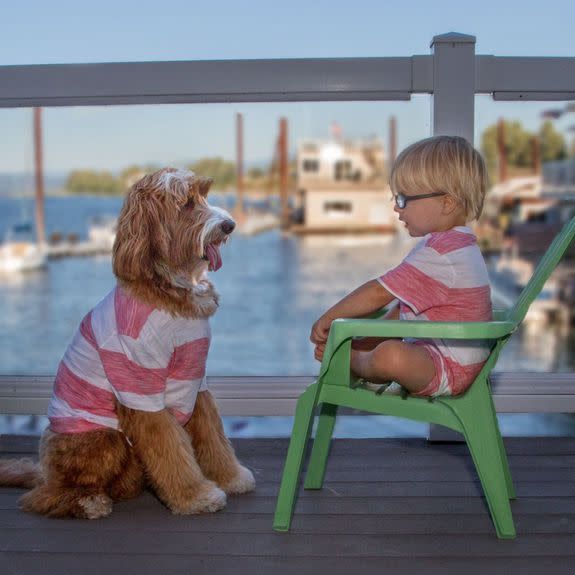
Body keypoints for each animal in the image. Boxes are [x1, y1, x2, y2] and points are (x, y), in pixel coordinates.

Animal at [0, 169, 254, 520]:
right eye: (187, 203)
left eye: (204, 195)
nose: (229, 225)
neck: (168, 288)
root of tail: (44, 472)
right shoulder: (141, 390)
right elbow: (170, 448)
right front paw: (195, 497)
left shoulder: (195, 380)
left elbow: (213, 435)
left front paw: (231, 477)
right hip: (102, 439)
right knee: (44, 496)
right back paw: (87, 501)